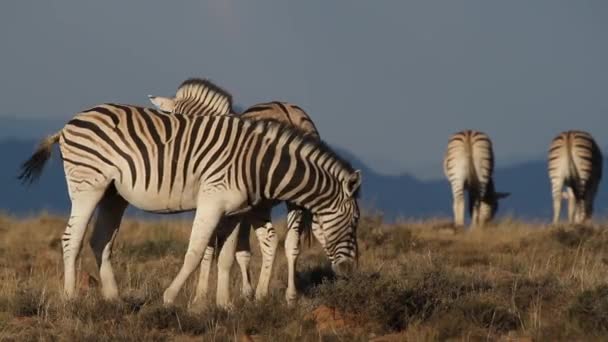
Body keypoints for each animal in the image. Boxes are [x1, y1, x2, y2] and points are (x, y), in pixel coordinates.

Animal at [19, 103, 360, 308]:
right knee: (71, 239)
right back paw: (70, 299)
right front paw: (172, 297)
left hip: (114, 194)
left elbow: (226, 257)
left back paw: (114, 299)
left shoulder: (234, 212)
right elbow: (196, 252)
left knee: (100, 240)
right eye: (356, 220)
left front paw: (225, 304)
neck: (257, 163)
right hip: (88, 185)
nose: (350, 272)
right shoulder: (212, 200)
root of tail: (68, 125)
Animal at [149, 79, 320, 304]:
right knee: (290, 243)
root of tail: (287, 112)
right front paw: (242, 292)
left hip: (263, 203)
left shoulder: (216, 204)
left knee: (270, 240)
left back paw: (262, 293)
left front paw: (200, 298)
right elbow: (239, 249)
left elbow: (211, 248)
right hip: (293, 198)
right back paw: (289, 296)